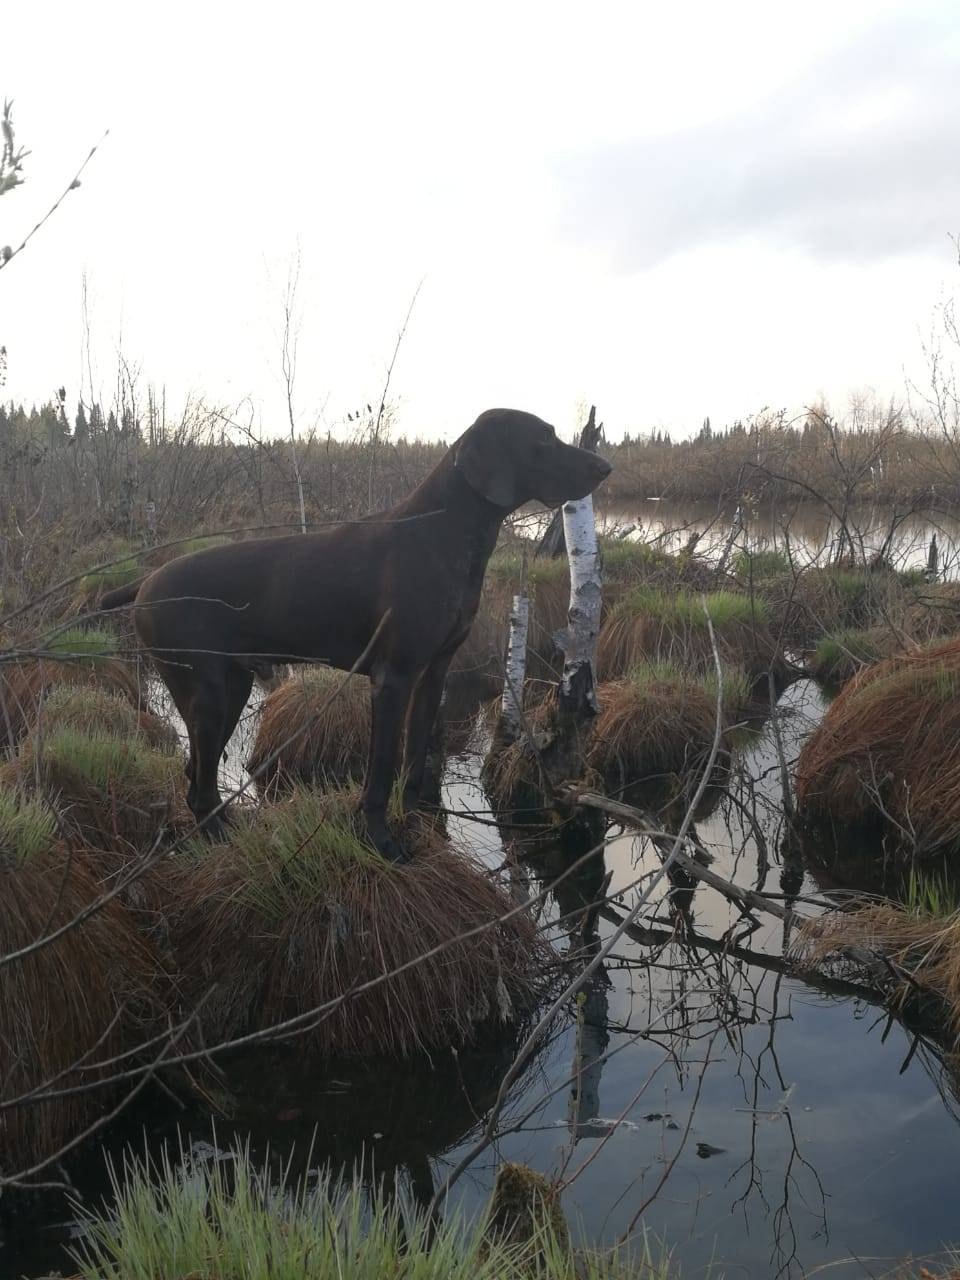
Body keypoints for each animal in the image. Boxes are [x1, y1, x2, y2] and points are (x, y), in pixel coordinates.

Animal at [101, 412, 611, 860]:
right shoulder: (392, 679)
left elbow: (414, 765)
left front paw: (416, 826)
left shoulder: (433, 676)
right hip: (206, 695)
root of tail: (145, 583)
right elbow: (381, 772)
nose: (605, 467)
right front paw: (382, 843)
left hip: (232, 689)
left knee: (195, 773)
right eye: (542, 438)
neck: (442, 535)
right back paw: (223, 842)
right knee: (199, 790)